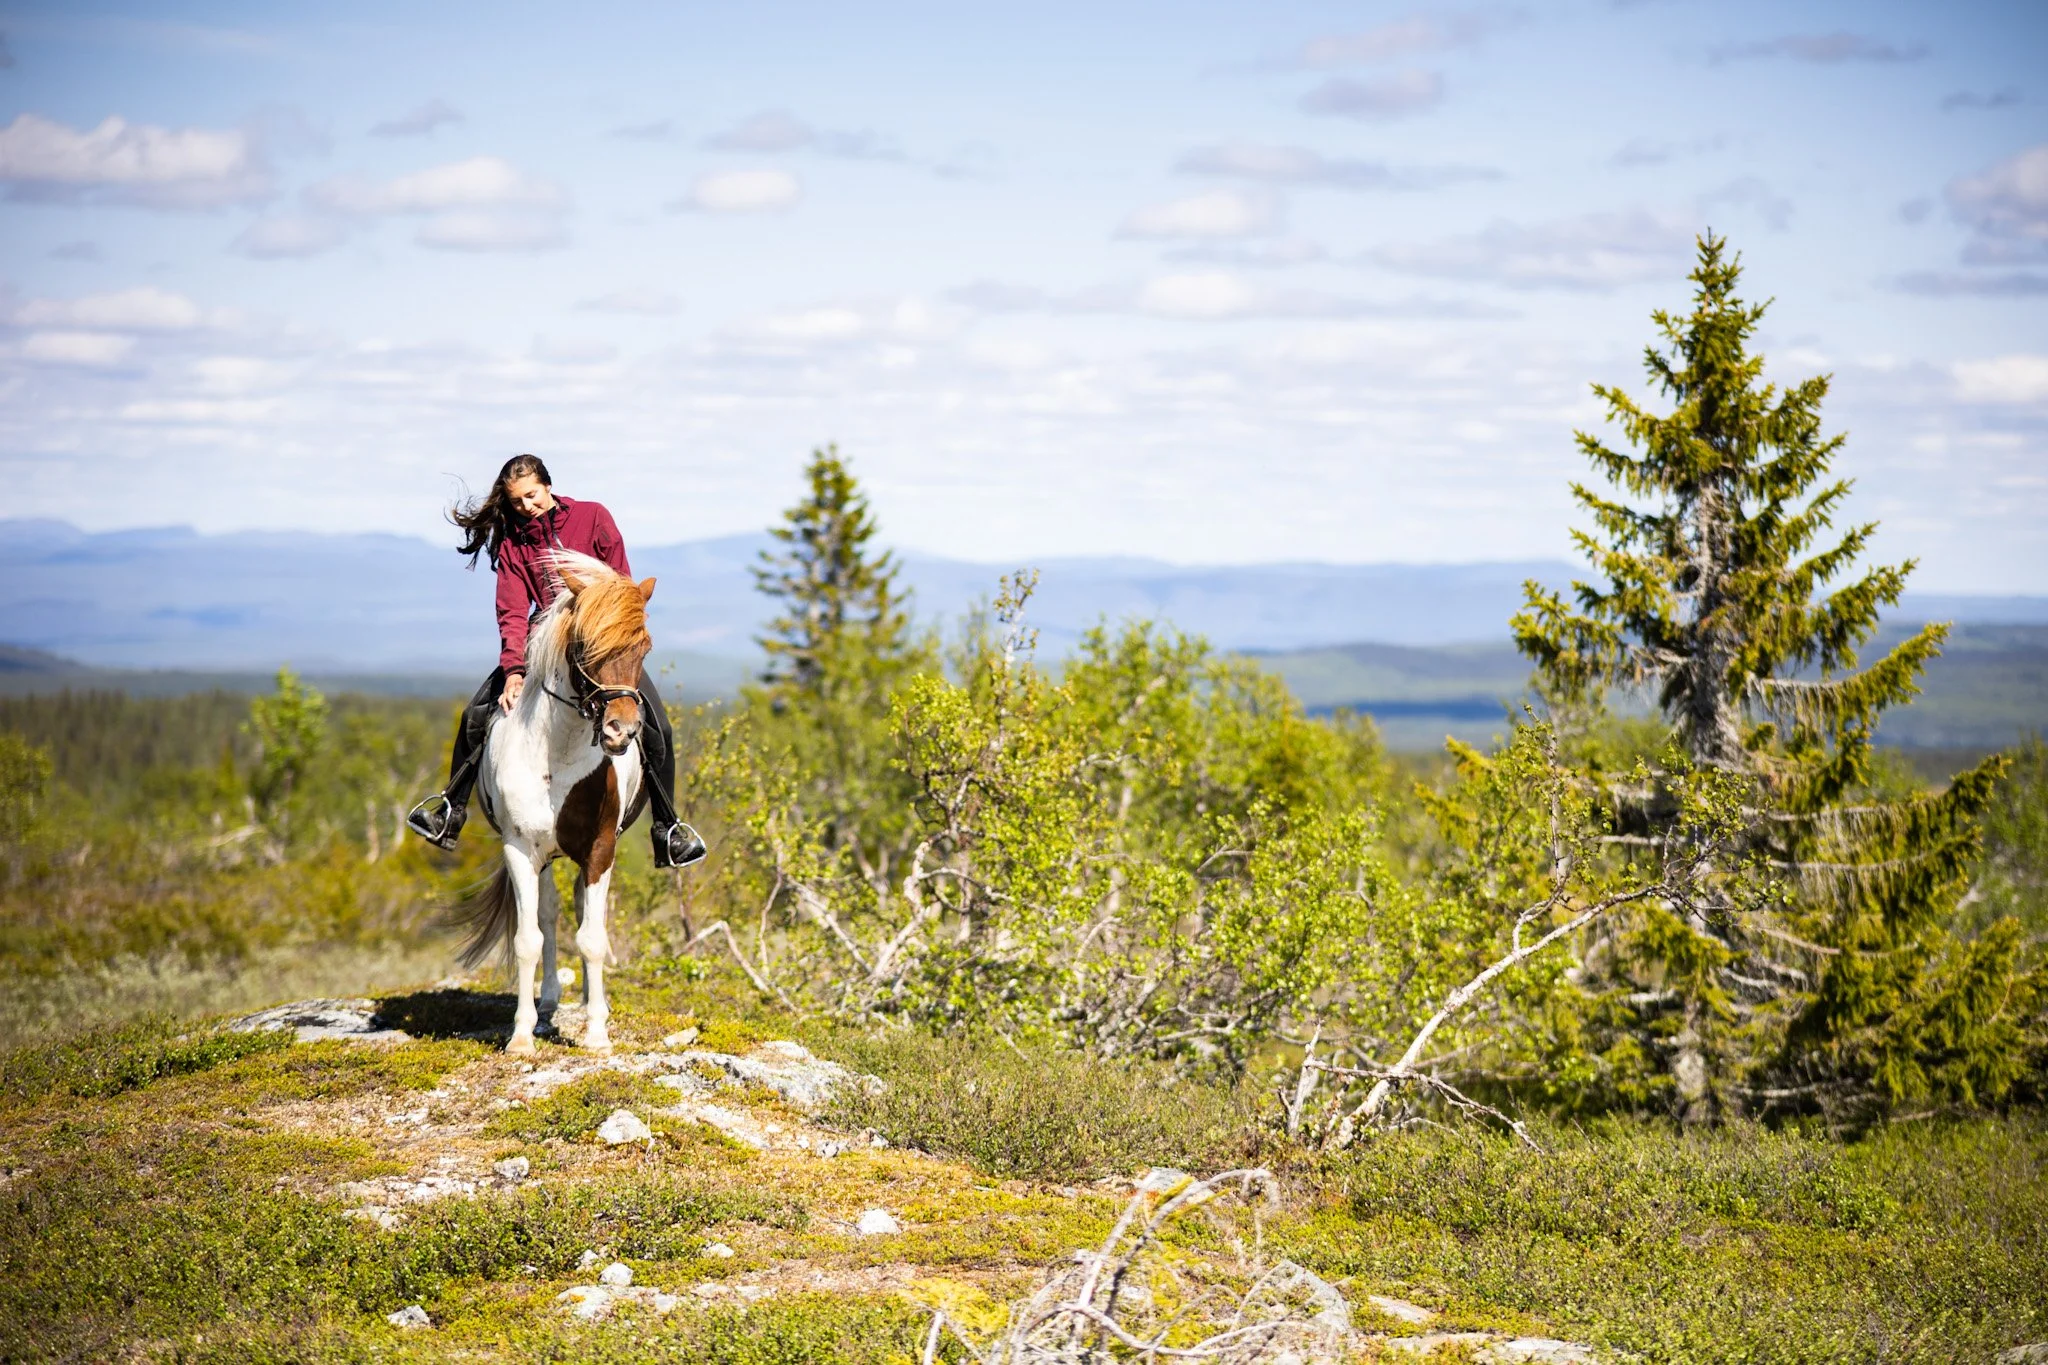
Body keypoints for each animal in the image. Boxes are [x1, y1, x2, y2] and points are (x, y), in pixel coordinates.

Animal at [449, 549, 657, 1054]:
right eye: (585, 646)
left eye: (644, 648)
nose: (622, 731)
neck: (558, 754)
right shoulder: (520, 850)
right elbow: (529, 938)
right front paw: (522, 1035)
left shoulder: (601, 850)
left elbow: (593, 939)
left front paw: (598, 1032)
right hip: (544, 857)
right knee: (548, 915)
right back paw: (547, 1004)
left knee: (581, 913)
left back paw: (587, 1003)